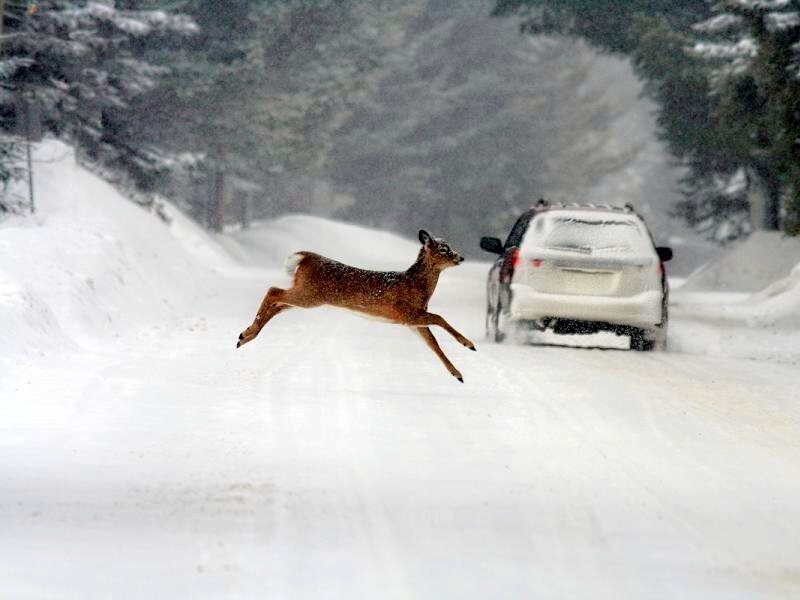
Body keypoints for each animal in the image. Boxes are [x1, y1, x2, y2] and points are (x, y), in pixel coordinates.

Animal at [236, 230, 476, 382]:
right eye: (444, 249)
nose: (461, 257)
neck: (417, 286)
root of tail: (305, 258)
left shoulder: (411, 321)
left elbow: (433, 343)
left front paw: (457, 374)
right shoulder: (404, 313)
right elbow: (439, 318)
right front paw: (469, 344)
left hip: (307, 297)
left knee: (277, 303)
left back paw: (244, 335)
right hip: (309, 295)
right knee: (273, 291)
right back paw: (247, 334)